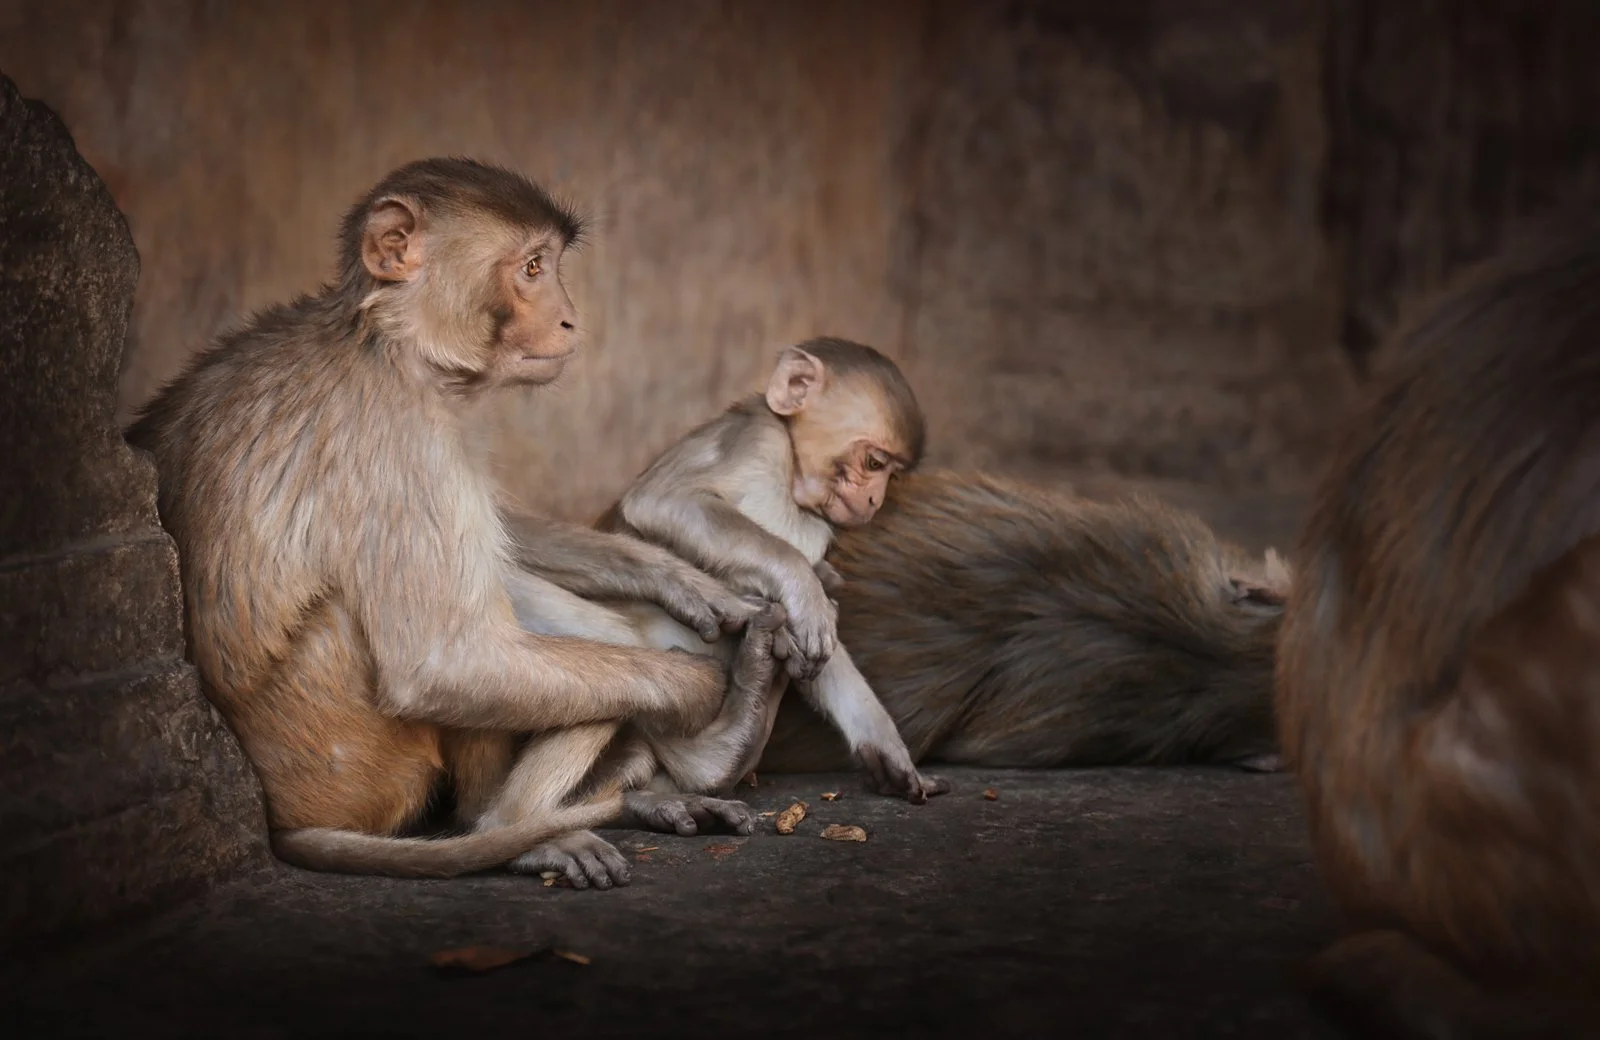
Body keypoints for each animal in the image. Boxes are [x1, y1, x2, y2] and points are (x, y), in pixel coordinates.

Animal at [126, 156, 783, 880]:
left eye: (551, 263)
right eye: (532, 267)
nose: (570, 320)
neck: (384, 341)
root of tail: (281, 818)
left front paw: (679, 581)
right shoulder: (399, 435)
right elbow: (443, 666)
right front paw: (696, 688)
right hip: (351, 760)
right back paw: (511, 823)